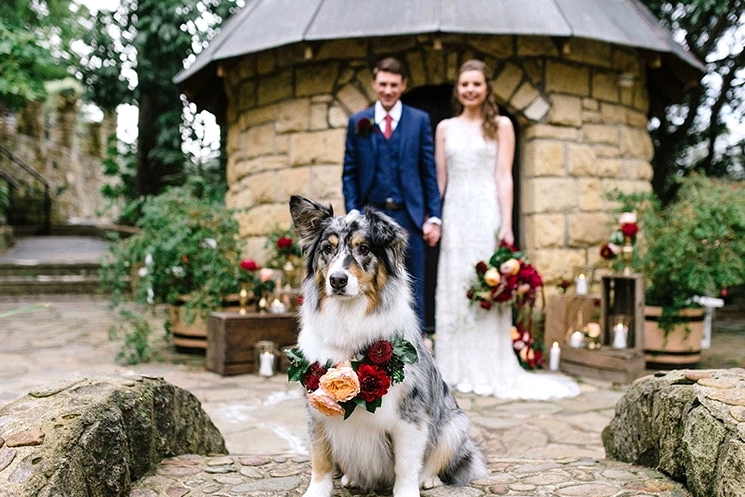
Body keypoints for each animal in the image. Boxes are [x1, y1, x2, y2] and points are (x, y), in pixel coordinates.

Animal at [286, 197, 488, 496]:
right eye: (327, 249)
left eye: (364, 249)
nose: (337, 280)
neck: (348, 318)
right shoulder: (316, 410)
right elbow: (320, 460)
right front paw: (316, 492)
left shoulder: (409, 415)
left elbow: (405, 465)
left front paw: (407, 490)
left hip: (455, 425)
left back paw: (428, 479)